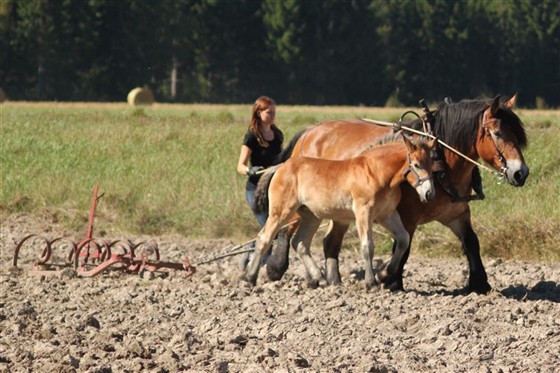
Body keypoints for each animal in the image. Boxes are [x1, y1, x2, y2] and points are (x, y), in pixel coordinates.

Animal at [245, 135, 438, 286]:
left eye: (432, 164)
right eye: (416, 164)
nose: (429, 194)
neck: (375, 172)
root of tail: (281, 166)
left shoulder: (387, 214)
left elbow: (403, 240)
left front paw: (384, 273)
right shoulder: (363, 213)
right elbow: (367, 246)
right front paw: (371, 282)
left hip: (311, 216)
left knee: (300, 243)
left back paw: (320, 279)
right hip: (281, 212)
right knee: (264, 238)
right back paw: (249, 279)